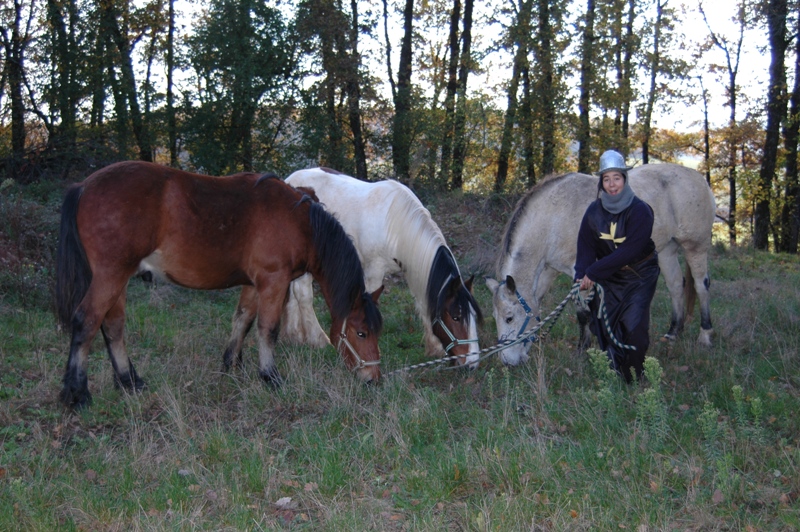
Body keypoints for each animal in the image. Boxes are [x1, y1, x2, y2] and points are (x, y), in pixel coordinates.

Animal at [54, 161, 382, 408]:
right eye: (361, 333)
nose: (373, 380)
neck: (300, 222)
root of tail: (84, 186)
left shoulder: (254, 284)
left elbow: (242, 320)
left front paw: (231, 365)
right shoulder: (273, 282)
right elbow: (267, 329)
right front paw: (270, 376)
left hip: (118, 280)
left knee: (113, 326)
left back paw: (130, 382)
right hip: (110, 276)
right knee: (86, 321)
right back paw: (77, 393)